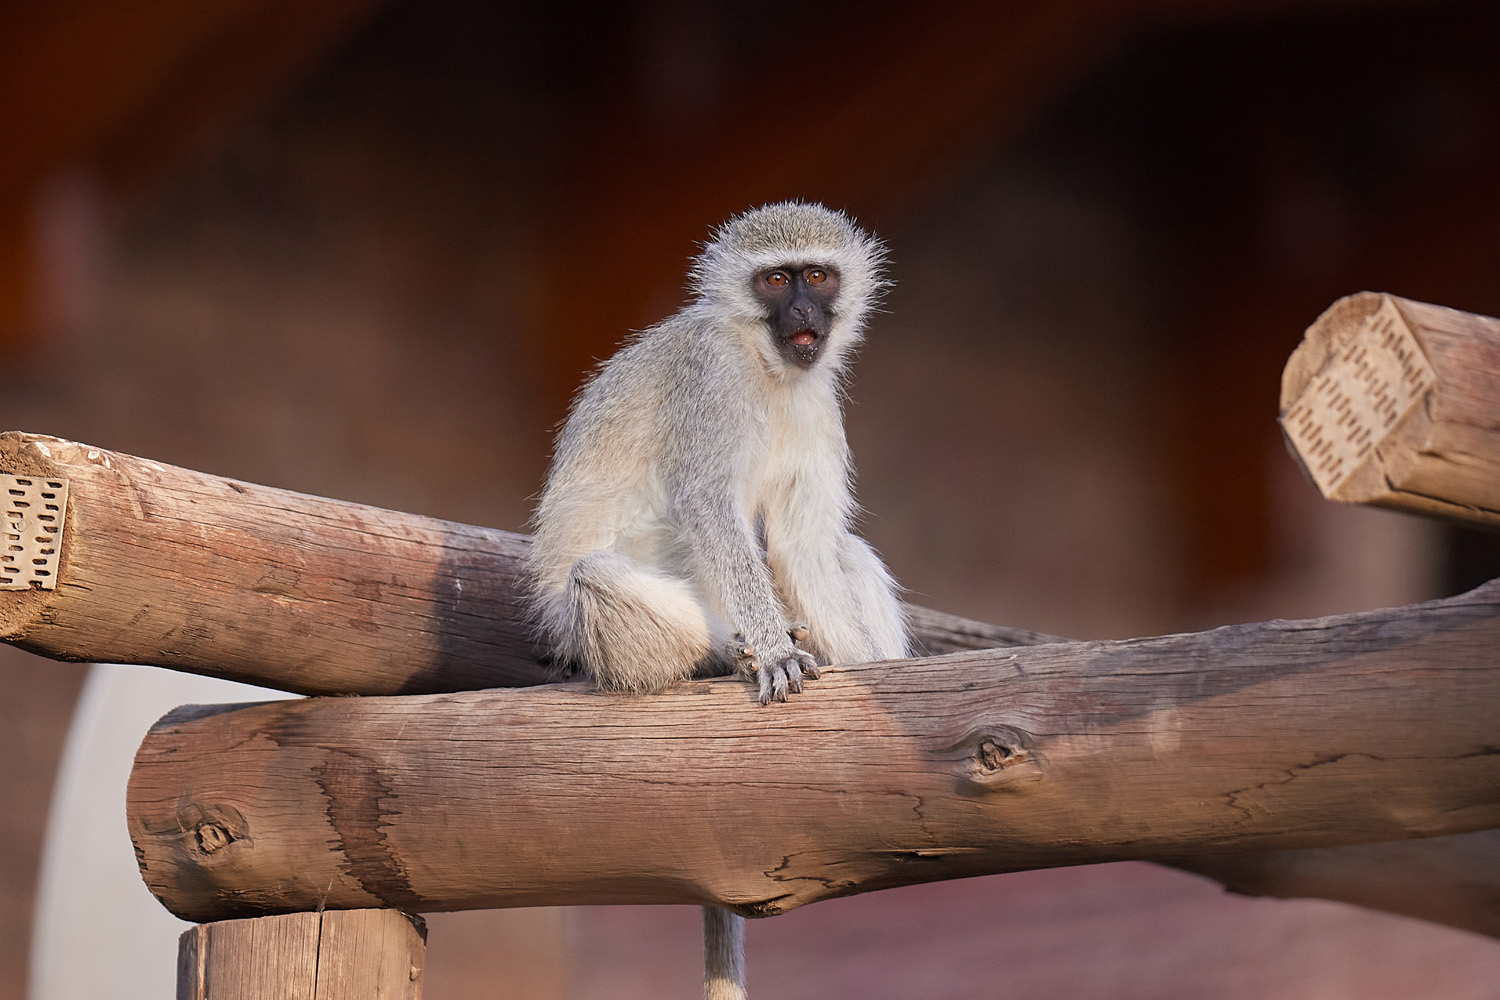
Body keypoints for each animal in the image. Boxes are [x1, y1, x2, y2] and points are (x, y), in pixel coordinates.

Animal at [528, 199, 900, 995]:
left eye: (818, 276)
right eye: (776, 280)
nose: (802, 312)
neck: (767, 366)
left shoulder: (818, 403)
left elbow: (804, 547)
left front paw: (872, 675)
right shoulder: (713, 380)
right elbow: (706, 503)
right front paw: (774, 654)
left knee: (841, 552)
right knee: (595, 578)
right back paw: (729, 653)